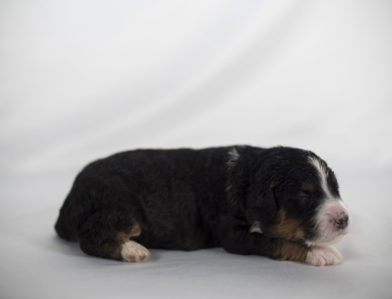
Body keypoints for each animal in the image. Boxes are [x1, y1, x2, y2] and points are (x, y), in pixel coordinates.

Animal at [54, 146, 350, 266]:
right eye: (304, 194)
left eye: (335, 188)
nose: (344, 219)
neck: (247, 177)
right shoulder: (232, 233)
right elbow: (277, 241)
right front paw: (321, 253)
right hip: (120, 205)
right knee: (93, 235)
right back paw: (132, 250)